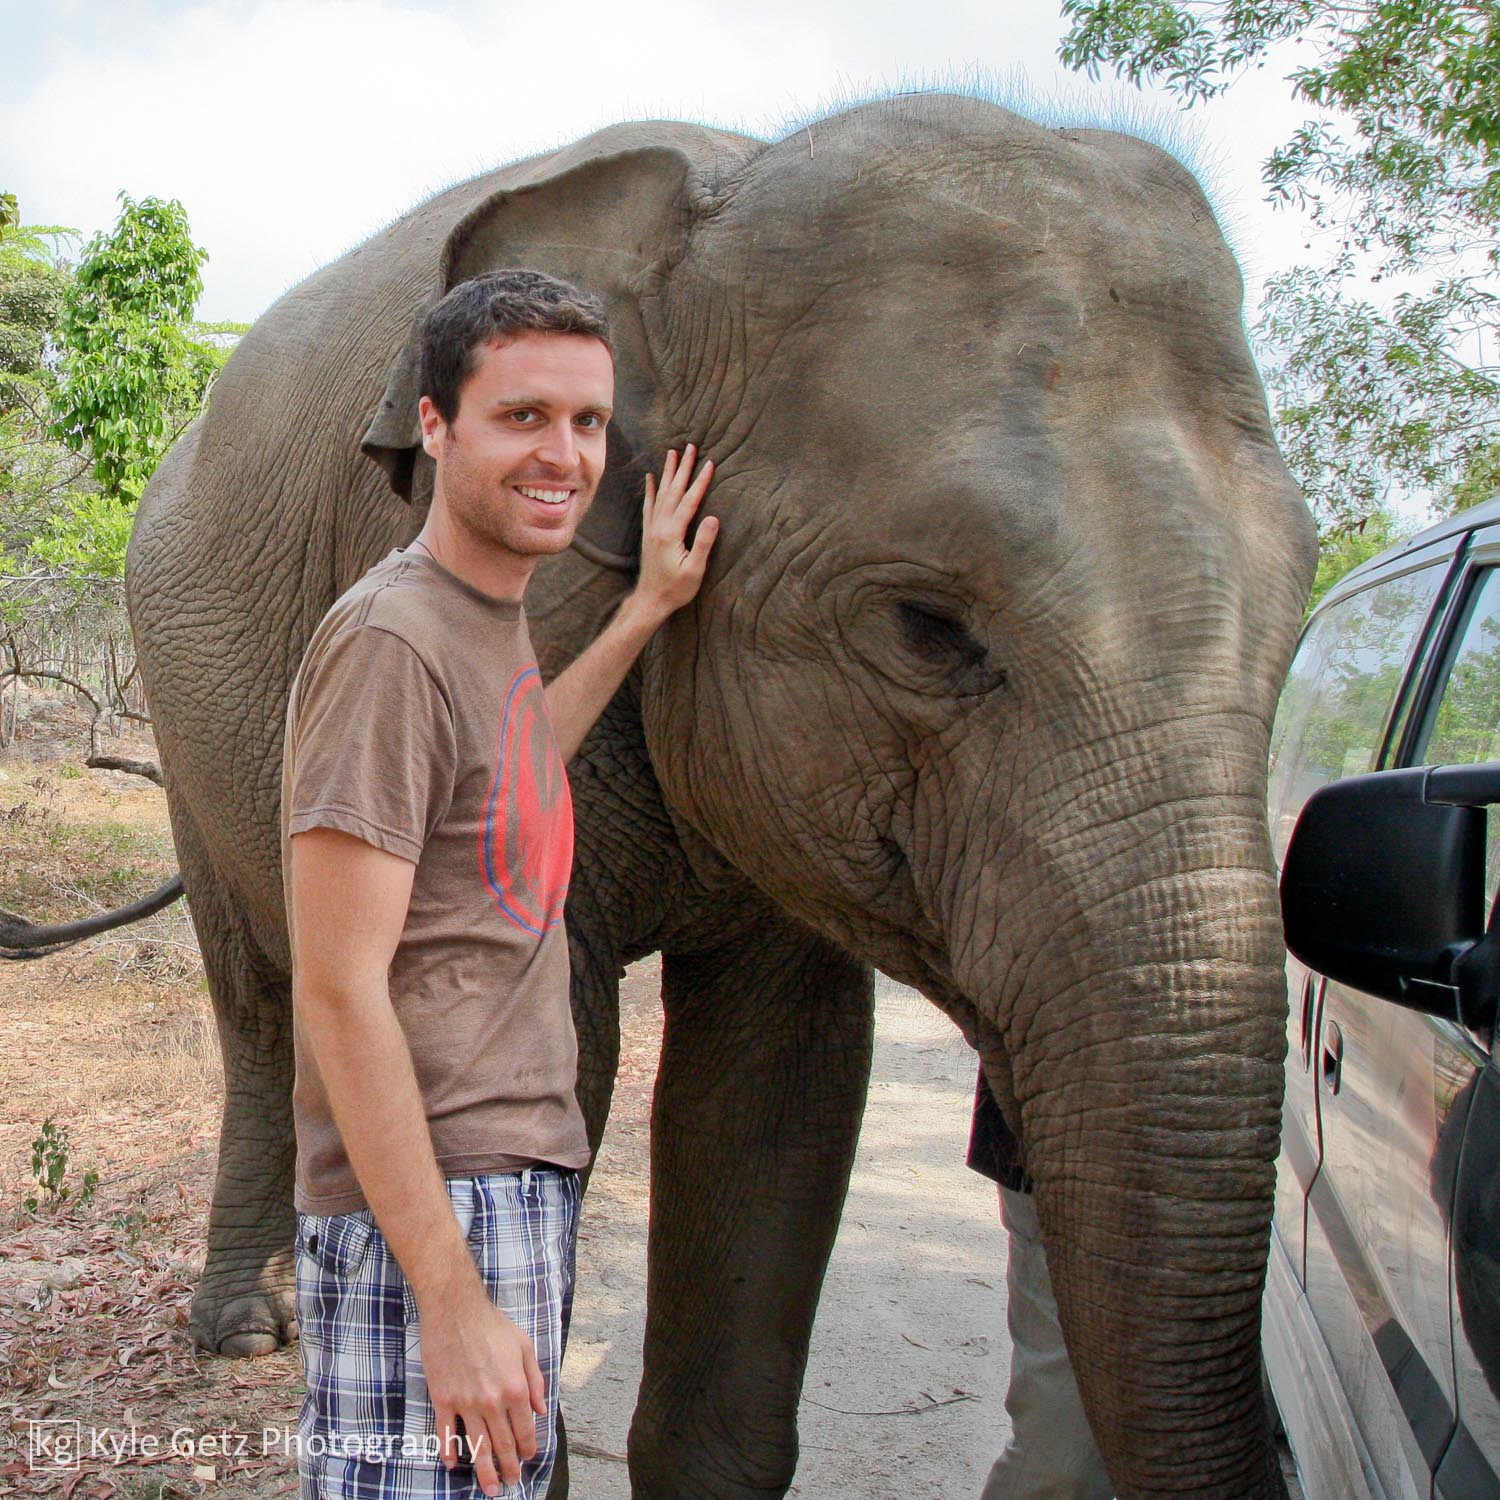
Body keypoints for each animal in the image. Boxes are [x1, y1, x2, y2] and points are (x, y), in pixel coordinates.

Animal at [122, 94, 1316, 1499]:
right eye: (925, 629)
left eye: (1296, 617)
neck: (716, 220)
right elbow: (547, 1063)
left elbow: (778, 1086)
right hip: (183, 714)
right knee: (261, 997)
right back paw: (247, 1328)